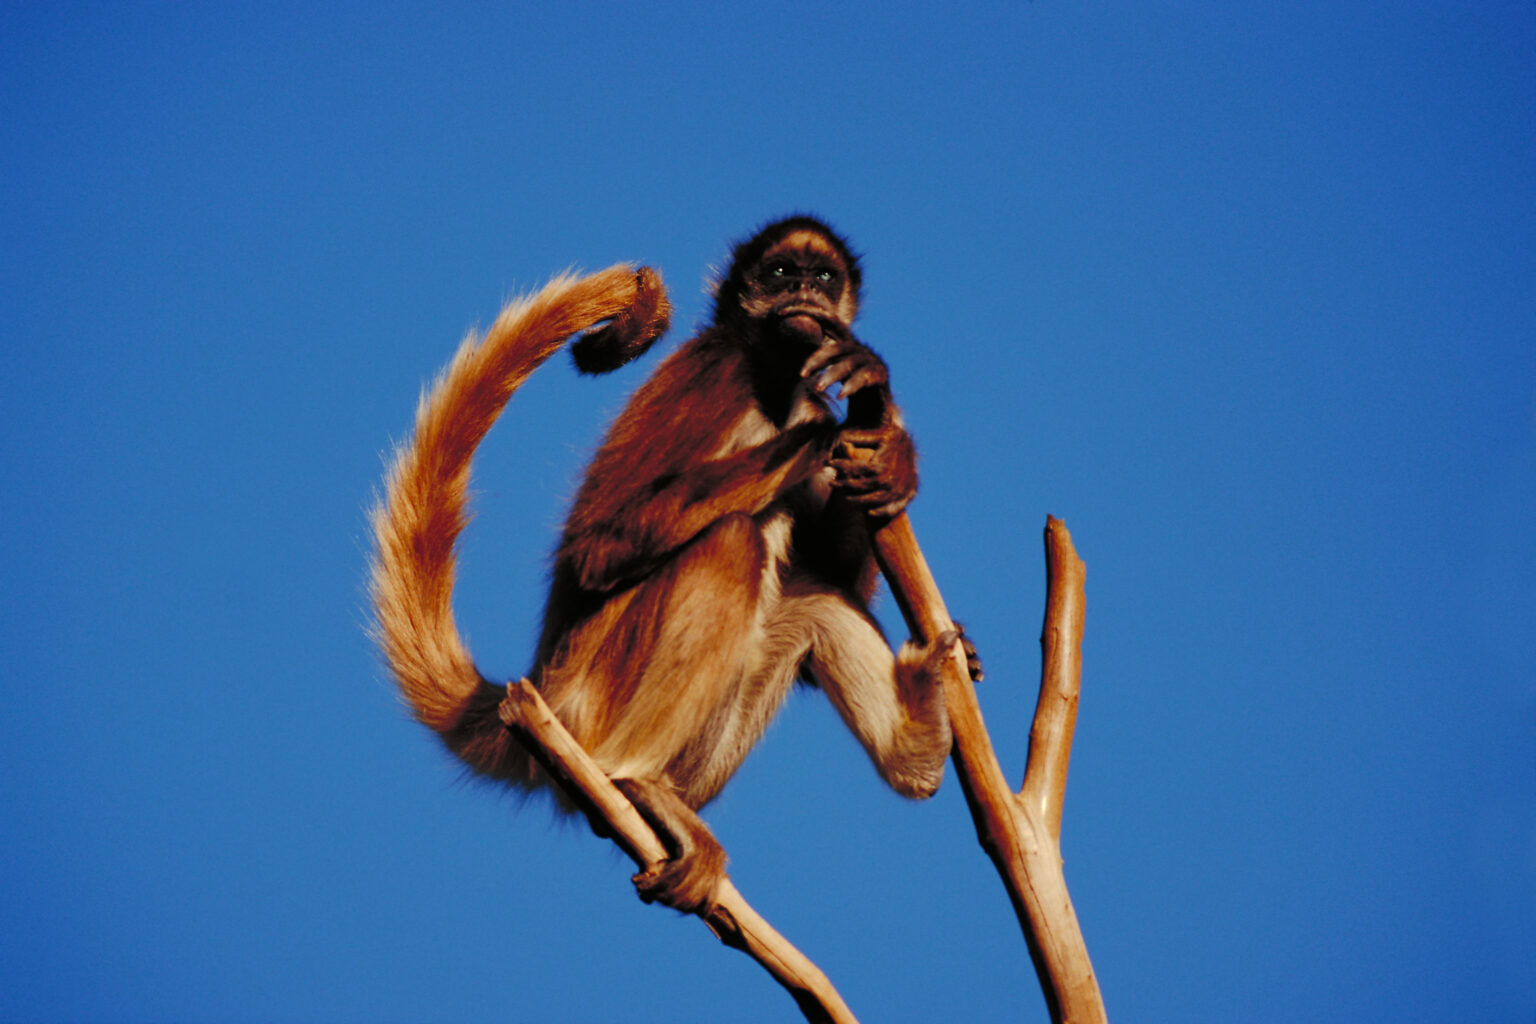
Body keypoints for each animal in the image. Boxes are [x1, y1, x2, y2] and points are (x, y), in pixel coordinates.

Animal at [367, 216, 976, 914]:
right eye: (779, 274)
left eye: (823, 278)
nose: (804, 295)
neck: (772, 379)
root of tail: (546, 682)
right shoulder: (715, 372)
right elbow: (595, 547)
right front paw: (829, 431)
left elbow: (833, 576)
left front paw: (889, 444)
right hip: (598, 690)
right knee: (732, 540)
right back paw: (637, 782)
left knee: (814, 592)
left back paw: (919, 742)